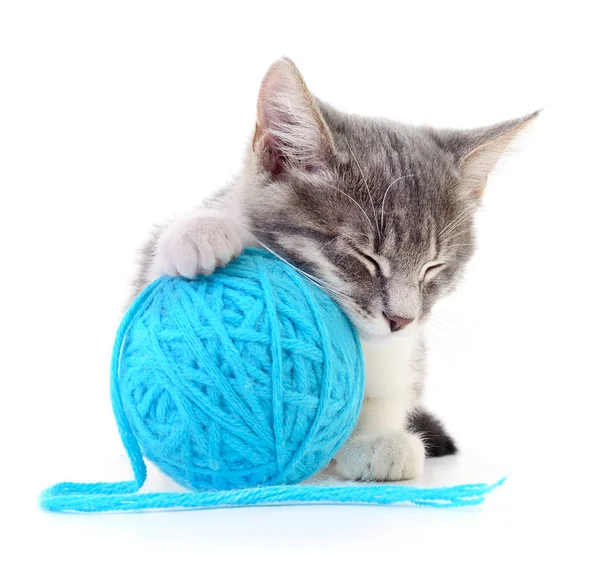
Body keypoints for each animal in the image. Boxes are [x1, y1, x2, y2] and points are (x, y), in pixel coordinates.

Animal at [134, 58, 536, 482]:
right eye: (365, 257)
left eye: (434, 266)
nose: (401, 320)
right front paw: (199, 232)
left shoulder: (403, 360)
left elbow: (383, 397)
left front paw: (376, 441)